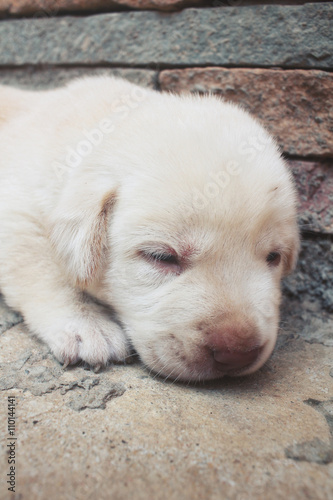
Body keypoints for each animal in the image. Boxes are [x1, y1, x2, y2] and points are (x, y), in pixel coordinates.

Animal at [0, 77, 298, 378]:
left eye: (273, 257)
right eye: (161, 257)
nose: (237, 353)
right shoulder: (17, 208)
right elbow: (43, 270)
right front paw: (88, 325)